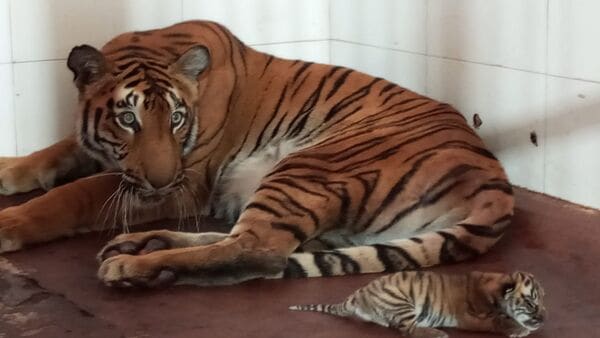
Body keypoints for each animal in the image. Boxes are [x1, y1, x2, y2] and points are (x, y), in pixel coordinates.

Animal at [0, 19, 512, 286]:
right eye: (128, 119)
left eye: (177, 118)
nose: (161, 180)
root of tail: (497, 182)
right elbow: (54, 152)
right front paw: (12, 169)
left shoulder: (186, 184)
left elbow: (75, 195)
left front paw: (11, 225)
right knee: (249, 244)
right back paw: (146, 244)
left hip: (308, 165)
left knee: (259, 252)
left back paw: (136, 264)